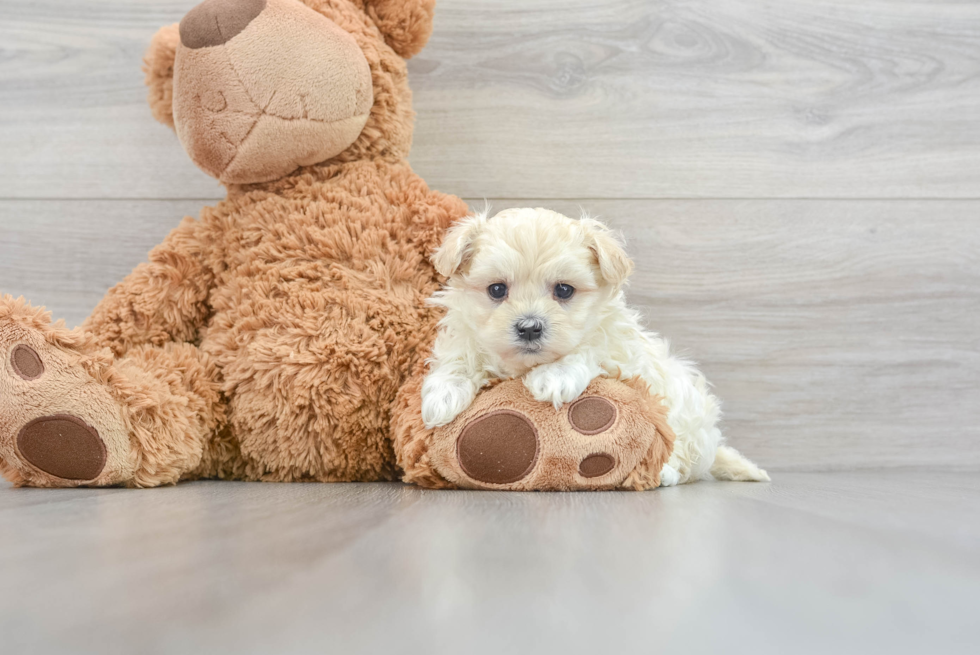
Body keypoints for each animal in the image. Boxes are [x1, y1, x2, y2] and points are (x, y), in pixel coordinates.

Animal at [420, 210, 764, 486]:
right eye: (496, 289)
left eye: (563, 290)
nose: (529, 327)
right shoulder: (466, 336)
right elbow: (460, 357)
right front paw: (443, 394)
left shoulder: (618, 349)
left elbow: (591, 347)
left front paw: (556, 375)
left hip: (685, 416)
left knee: (682, 457)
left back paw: (664, 473)